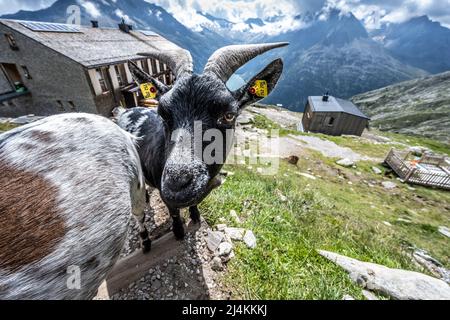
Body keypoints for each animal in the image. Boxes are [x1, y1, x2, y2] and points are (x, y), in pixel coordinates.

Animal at [118, 42, 286, 239]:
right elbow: (174, 213)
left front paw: (195, 217)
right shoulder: (166, 197)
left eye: (229, 115)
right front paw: (179, 232)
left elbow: (194, 204)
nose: (176, 185)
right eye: (163, 114)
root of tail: (124, 111)